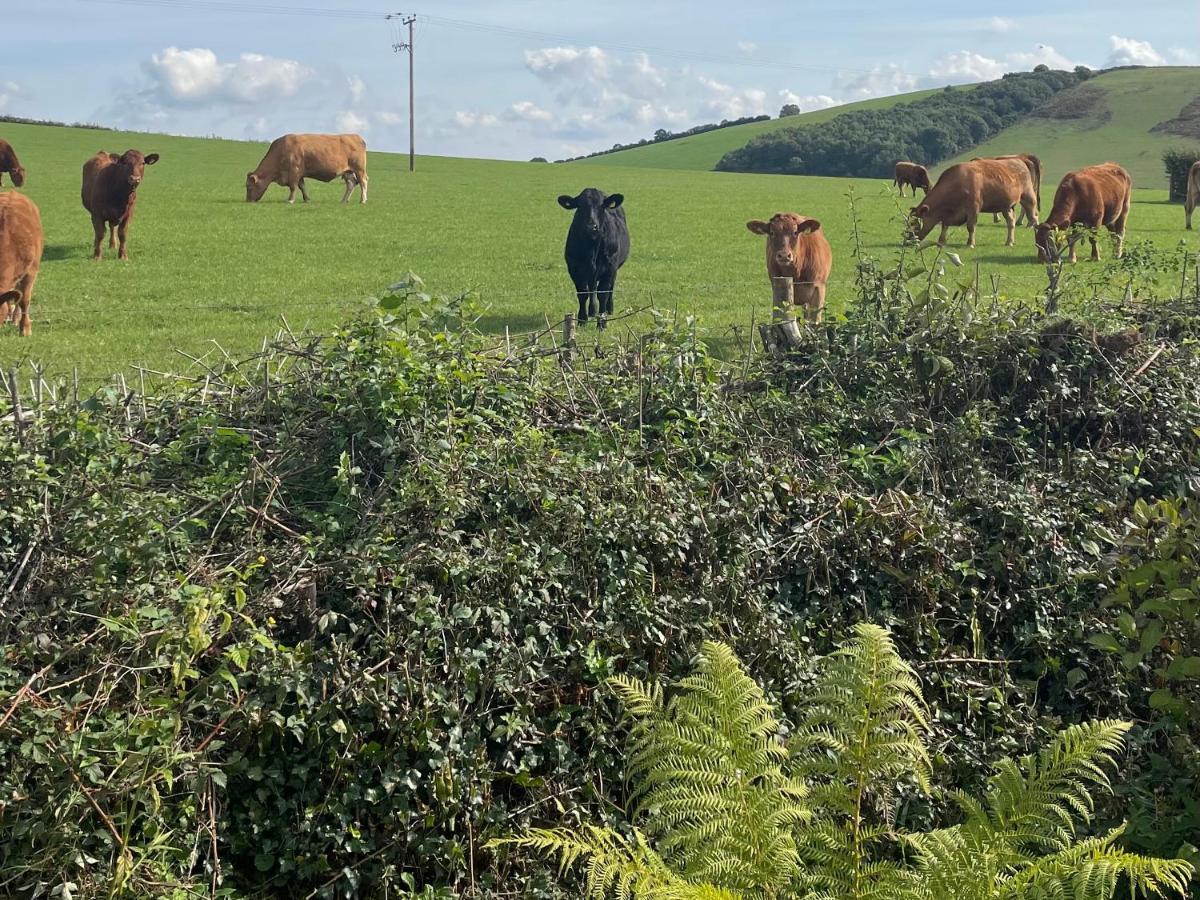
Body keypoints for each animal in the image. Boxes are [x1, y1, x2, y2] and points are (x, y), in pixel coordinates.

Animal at [554, 188, 628, 326]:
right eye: (580, 206)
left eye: (602, 206)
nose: (591, 227)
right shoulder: (575, 268)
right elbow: (583, 293)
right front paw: (582, 319)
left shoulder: (610, 268)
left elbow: (603, 293)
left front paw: (602, 322)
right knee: (592, 287)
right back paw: (592, 311)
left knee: (610, 288)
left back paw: (609, 309)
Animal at [902, 157, 1036, 248]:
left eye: (913, 223)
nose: (907, 240)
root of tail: (1019, 160)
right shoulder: (948, 214)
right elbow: (945, 226)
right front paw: (941, 241)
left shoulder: (973, 209)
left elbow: (970, 226)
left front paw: (970, 243)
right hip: (1006, 207)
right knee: (1011, 222)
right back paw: (1009, 241)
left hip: (1028, 197)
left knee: (1033, 216)